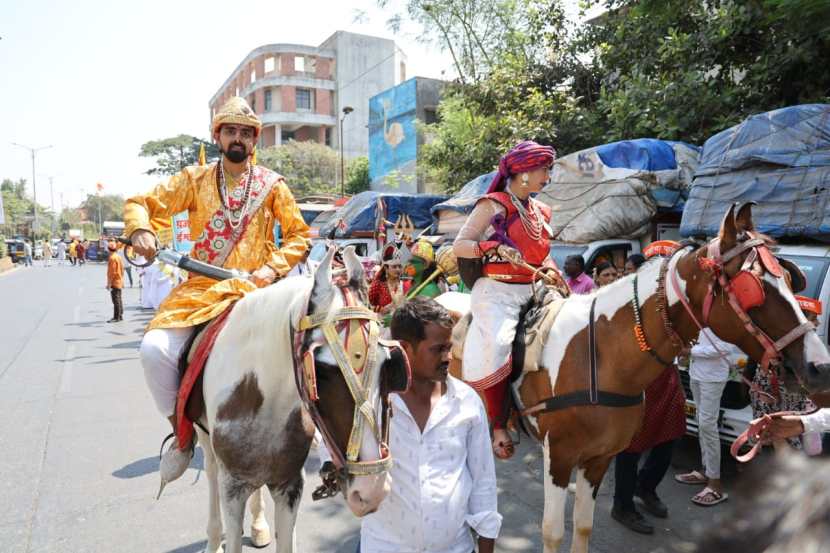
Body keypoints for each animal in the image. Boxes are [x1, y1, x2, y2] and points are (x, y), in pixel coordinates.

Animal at [193, 247, 406, 552]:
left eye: (387, 366)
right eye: (322, 372)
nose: (372, 491)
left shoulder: (289, 484)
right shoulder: (232, 487)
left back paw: (258, 525)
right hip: (205, 440)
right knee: (210, 470)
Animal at [442, 205, 830, 548]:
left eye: (788, 279)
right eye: (754, 288)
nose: (819, 366)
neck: (598, 354)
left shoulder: (598, 459)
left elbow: (583, 526)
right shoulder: (560, 457)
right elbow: (552, 532)